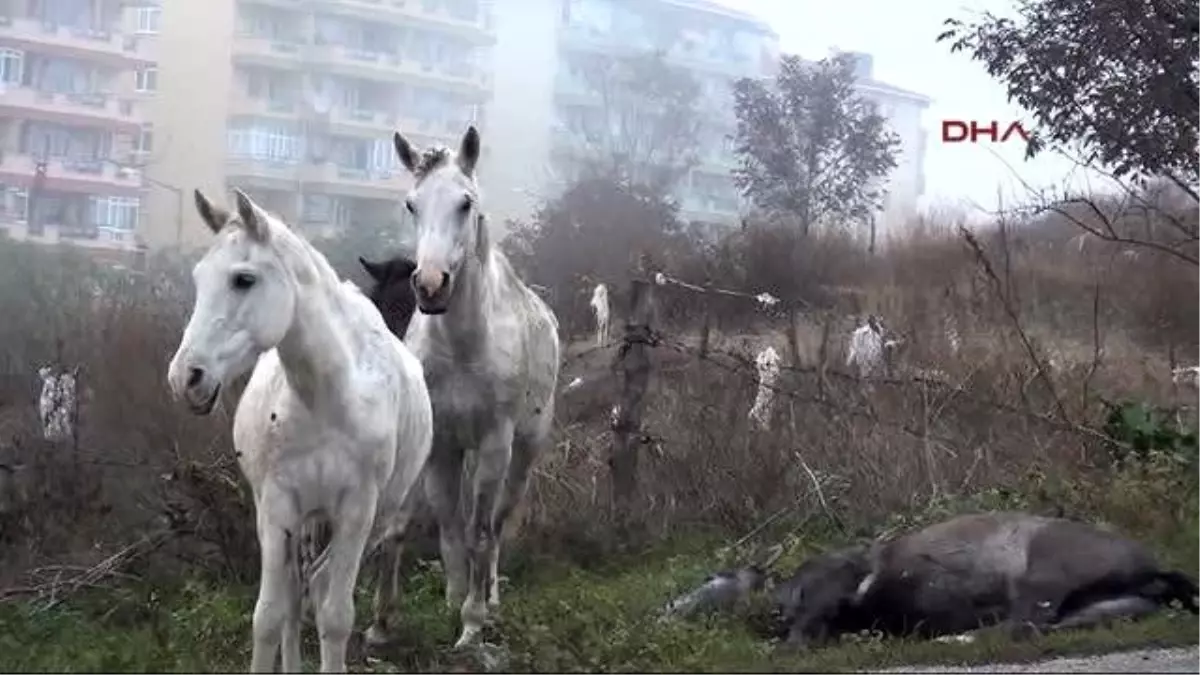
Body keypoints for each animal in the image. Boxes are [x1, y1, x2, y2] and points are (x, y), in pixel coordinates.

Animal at [165, 186, 432, 667]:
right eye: (198, 278)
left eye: (243, 279)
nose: (186, 378)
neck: (328, 399)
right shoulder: (277, 508)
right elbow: (269, 615)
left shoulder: (357, 512)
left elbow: (335, 616)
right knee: (295, 593)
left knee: (318, 585)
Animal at [393, 124, 561, 648]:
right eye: (412, 204)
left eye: (465, 203)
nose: (430, 286)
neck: (463, 348)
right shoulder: (443, 446)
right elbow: (450, 526)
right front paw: (452, 603)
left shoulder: (493, 444)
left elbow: (483, 531)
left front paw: (471, 623)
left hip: (524, 452)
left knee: (500, 520)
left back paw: (490, 598)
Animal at [768, 509, 1200, 648]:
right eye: (791, 602)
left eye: (818, 596)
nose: (793, 642)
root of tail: (1152, 567)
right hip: (1112, 607)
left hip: (1042, 578)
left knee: (1022, 625)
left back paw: (960, 638)